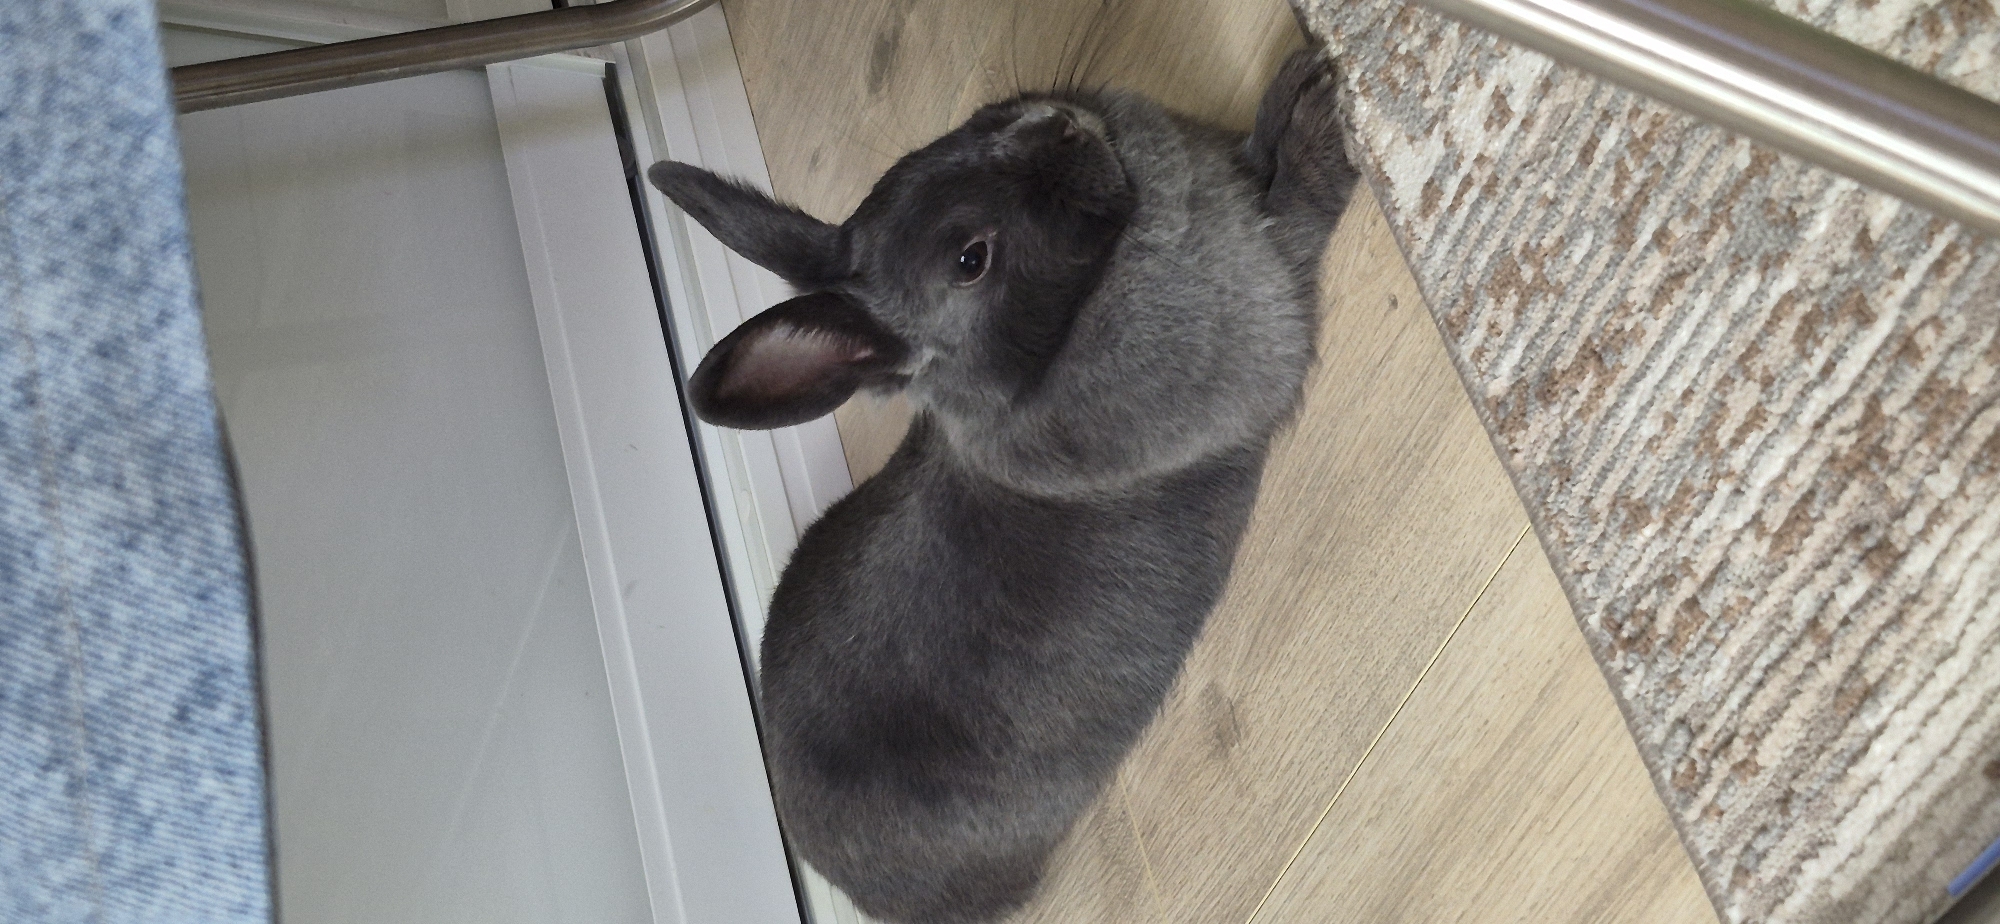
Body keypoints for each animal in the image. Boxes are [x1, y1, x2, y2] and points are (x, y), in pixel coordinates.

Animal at [648, 48, 1356, 924]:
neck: (1047, 347)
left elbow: (1256, 163)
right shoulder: (1266, 294)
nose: (1061, 125)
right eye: (968, 261)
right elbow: (1297, 208)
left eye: (970, 129)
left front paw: (1294, 81)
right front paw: (1322, 104)